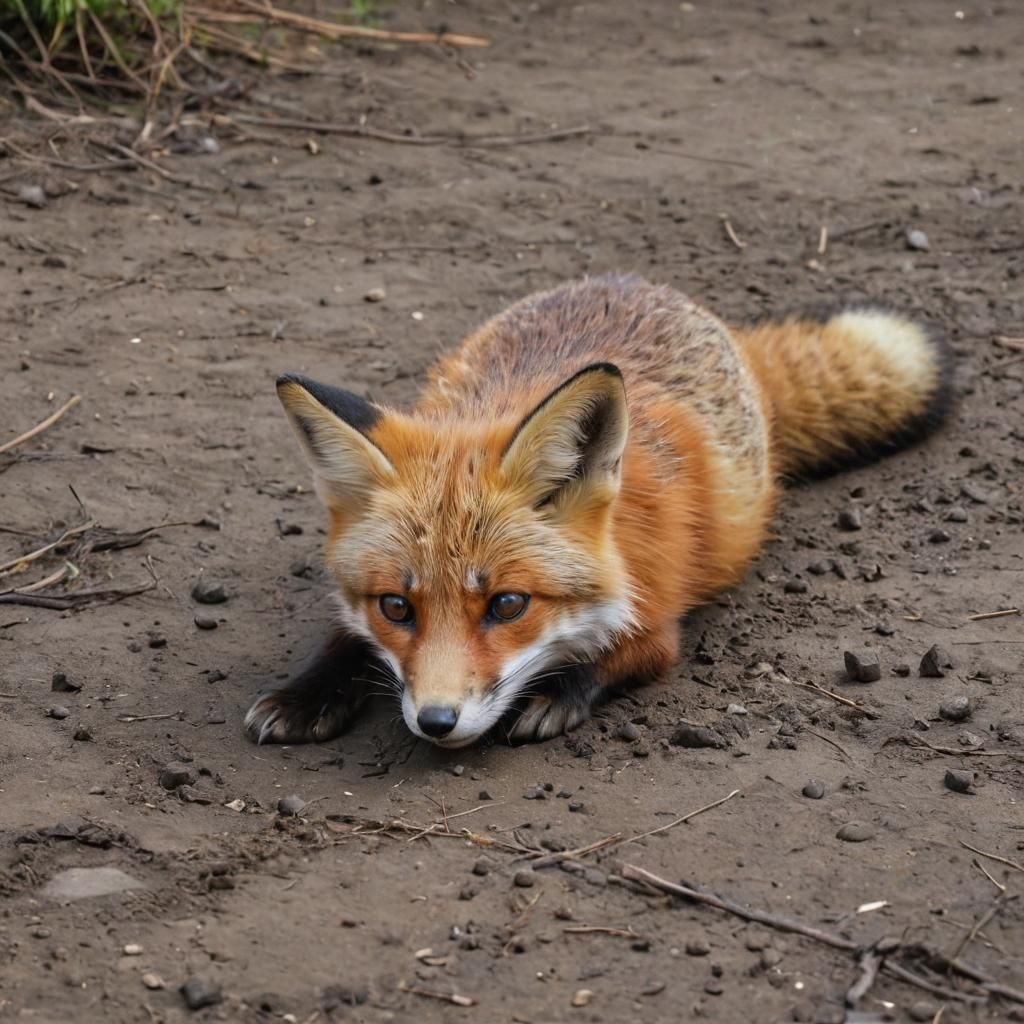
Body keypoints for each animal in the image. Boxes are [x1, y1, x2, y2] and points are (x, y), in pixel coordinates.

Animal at [245, 273, 952, 749]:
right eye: (396, 606)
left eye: (507, 604)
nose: (436, 722)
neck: (619, 542)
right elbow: (347, 634)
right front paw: (311, 690)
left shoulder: (659, 619)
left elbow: (618, 654)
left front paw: (555, 692)